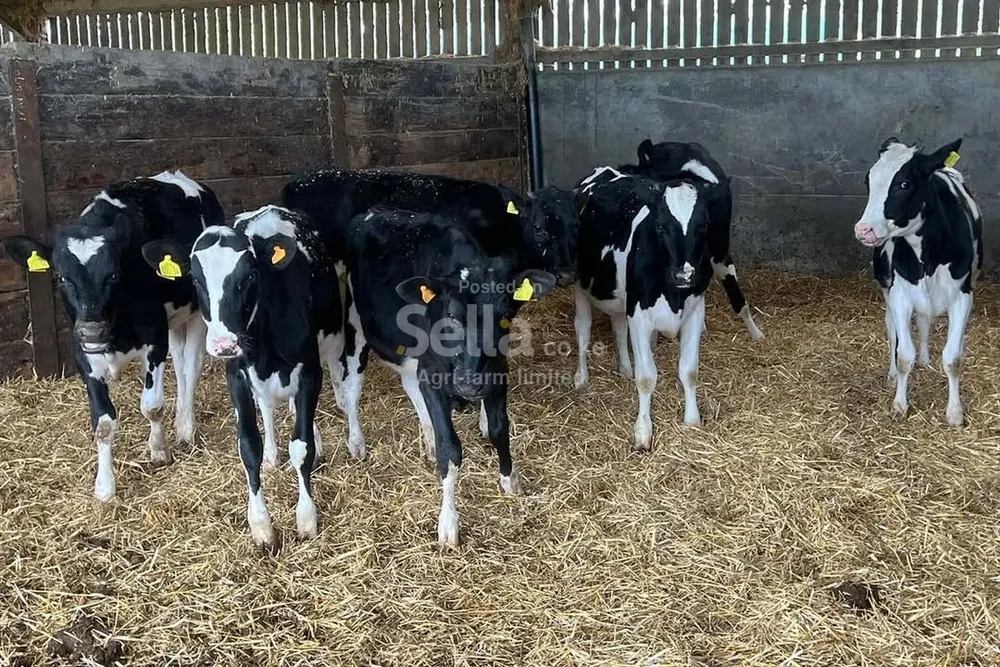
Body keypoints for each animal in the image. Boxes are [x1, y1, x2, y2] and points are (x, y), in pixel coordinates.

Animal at [0, 171, 221, 501]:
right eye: (61, 277)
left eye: (114, 275)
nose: (92, 329)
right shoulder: (83, 353)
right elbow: (103, 423)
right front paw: (104, 487)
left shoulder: (155, 340)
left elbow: (152, 405)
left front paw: (159, 450)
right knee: (181, 365)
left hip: (195, 314)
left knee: (190, 369)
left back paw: (185, 428)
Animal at [142, 205, 354, 551]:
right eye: (196, 279)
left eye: (250, 276)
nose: (223, 343)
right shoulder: (238, 377)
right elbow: (248, 446)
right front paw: (261, 526)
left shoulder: (310, 371)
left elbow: (302, 445)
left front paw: (306, 518)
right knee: (267, 407)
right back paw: (272, 455)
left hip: (332, 339)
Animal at [342, 205, 555, 546]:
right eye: (452, 316)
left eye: (504, 315)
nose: (469, 384)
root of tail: (374, 211)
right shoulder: (433, 375)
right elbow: (450, 448)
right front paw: (448, 522)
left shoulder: (497, 372)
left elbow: (499, 429)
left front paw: (510, 480)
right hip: (355, 325)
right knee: (351, 388)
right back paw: (357, 442)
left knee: (409, 385)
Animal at [572, 170, 716, 452]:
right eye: (660, 225)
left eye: (703, 225)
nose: (684, 274)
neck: (674, 295)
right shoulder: (639, 316)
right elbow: (647, 377)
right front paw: (643, 431)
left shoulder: (695, 311)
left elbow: (689, 370)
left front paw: (692, 420)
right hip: (580, 286)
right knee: (583, 330)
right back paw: (581, 378)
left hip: (621, 298)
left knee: (618, 326)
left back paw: (625, 368)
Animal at [853, 137, 982, 426]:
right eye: (868, 180)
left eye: (904, 184)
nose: (864, 230)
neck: (928, 257)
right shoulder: (900, 295)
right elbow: (903, 355)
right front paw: (900, 404)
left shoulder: (963, 296)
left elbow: (953, 358)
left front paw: (954, 412)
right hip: (887, 288)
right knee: (892, 328)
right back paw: (893, 374)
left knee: (924, 321)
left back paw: (925, 360)